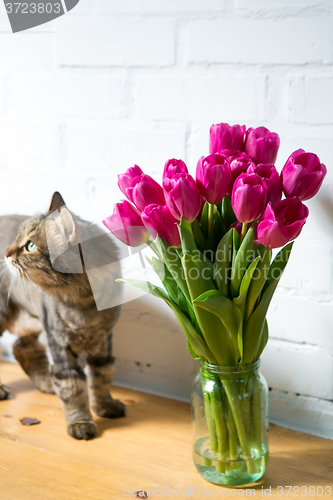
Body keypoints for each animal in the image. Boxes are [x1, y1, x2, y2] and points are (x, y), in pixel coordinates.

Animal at [0, 193, 124, 440]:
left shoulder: (103, 343)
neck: (84, 304)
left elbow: (101, 379)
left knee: (22, 347)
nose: (6, 253)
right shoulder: (60, 346)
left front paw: (105, 406)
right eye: (19, 239)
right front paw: (80, 422)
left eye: (30, 246)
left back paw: (46, 382)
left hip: (33, 320)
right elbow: (73, 390)